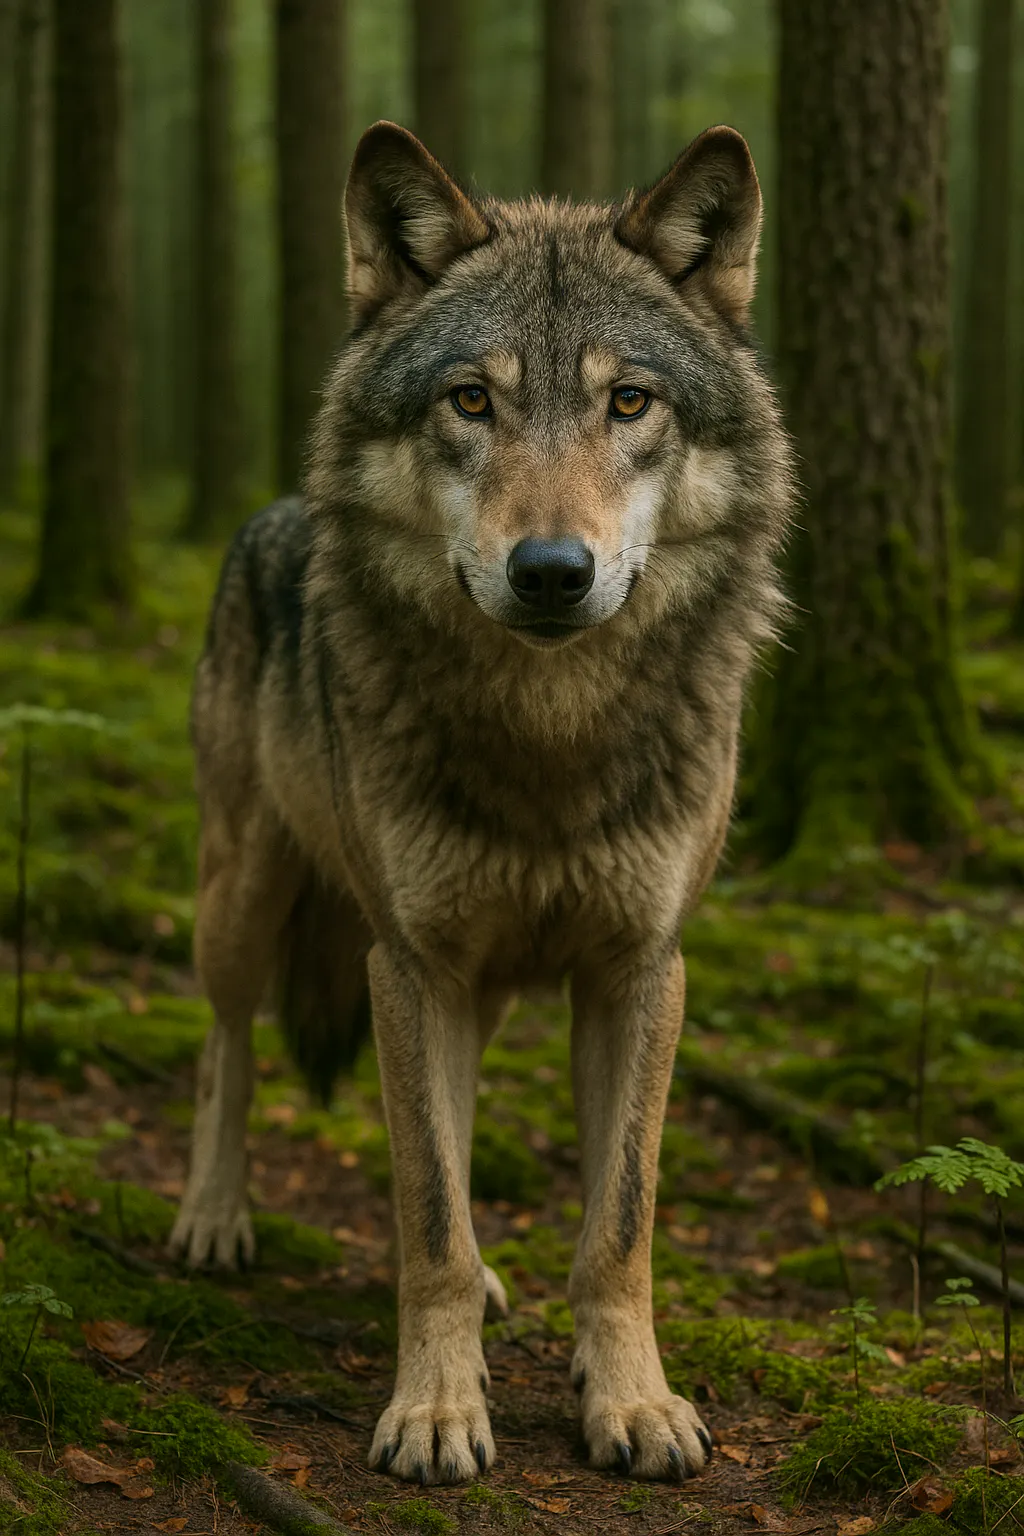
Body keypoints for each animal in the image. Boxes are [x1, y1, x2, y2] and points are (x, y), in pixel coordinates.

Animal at [170, 120, 792, 1485]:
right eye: (471, 400)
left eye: (628, 401)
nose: (551, 570)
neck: (549, 741)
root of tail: (268, 512)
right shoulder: (411, 964)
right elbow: (428, 1211)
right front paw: (436, 1411)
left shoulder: (637, 967)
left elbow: (614, 1223)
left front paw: (633, 1403)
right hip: (247, 902)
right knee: (228, 1048)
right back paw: (210, 1217)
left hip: (489, 989)